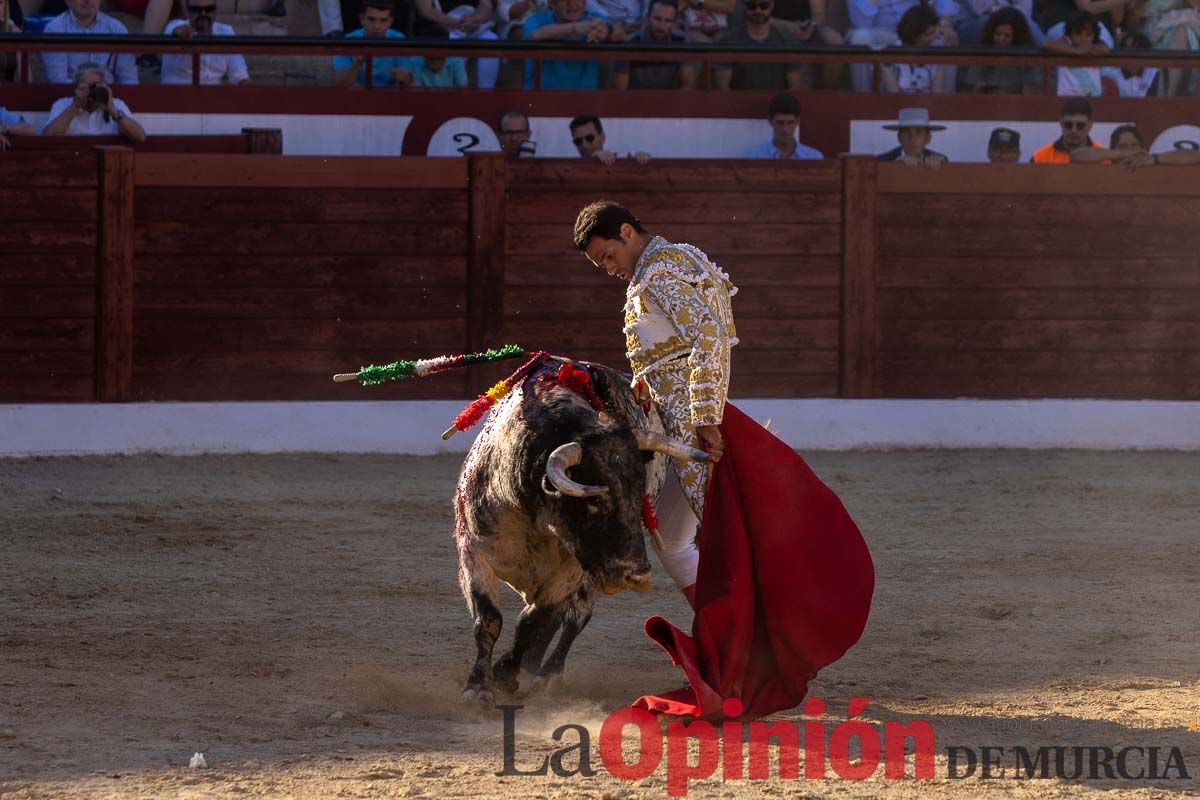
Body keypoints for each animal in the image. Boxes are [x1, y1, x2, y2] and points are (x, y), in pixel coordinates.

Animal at [453, 357, 705, 705]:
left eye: (639, 493)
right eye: (595, 498)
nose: (637, 575)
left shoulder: (572, 570)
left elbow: (532, 621)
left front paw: (505, 673)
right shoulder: (473, 551)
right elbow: (489, 619)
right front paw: (478, 687)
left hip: (589, 576)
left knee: (574, 618)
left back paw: (545, 675)